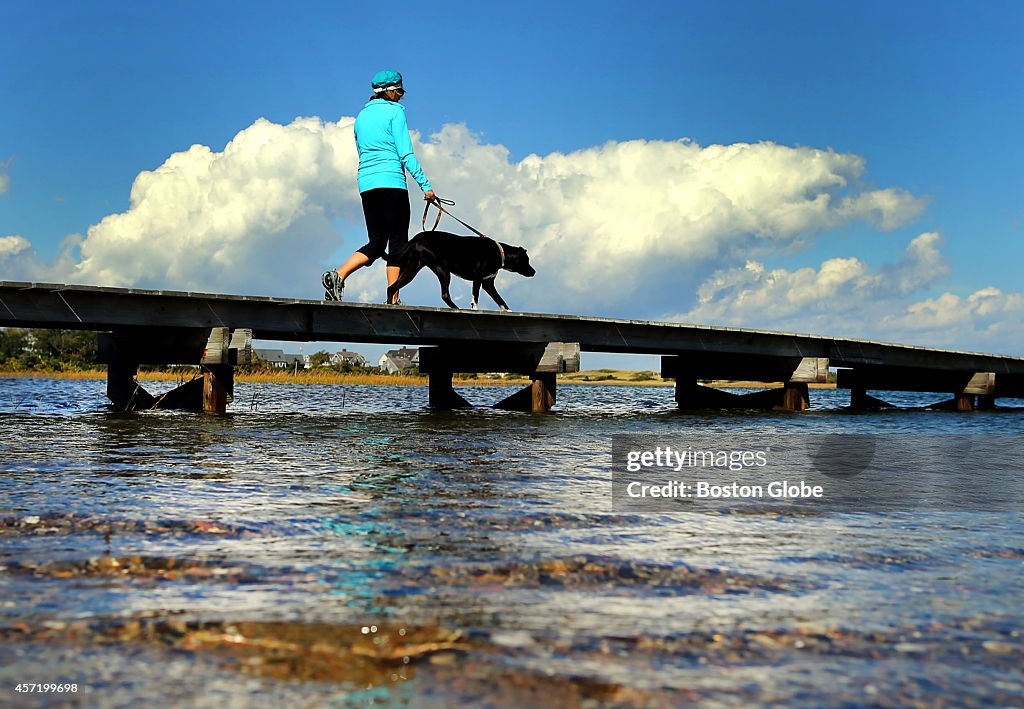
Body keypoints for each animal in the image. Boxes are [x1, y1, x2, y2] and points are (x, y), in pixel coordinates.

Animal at [385, 232, 536, 309]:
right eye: (527, 260)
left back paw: (390, 305)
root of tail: (415, 239)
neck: (500, 253)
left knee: (391, 288)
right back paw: (456, 308)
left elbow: (501, 302)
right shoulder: (478, 279)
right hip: (443, 270)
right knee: (445, 295)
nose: (534, 272)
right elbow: (475, 299)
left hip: (411, 270)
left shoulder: (488, 284)